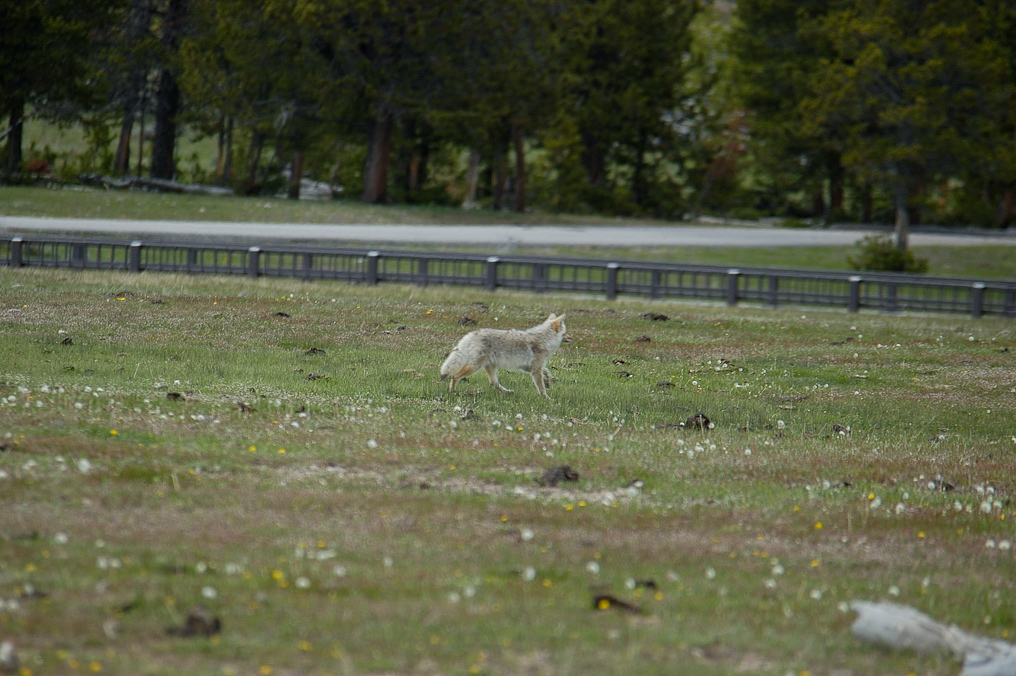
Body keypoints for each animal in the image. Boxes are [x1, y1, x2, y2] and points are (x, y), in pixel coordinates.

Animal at [440, 313, 570, 397]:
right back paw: (452, 392)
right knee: (455, 376)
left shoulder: (530, 368)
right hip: (474, 367)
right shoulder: (535, 371)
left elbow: (547, 371)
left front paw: (548, 382)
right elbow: (541, 388)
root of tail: (470, 334)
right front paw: (547, 398)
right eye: (565, 333)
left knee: (494, 383)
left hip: (489, 367)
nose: (572, 338)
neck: (544, 340)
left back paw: (508, 392)